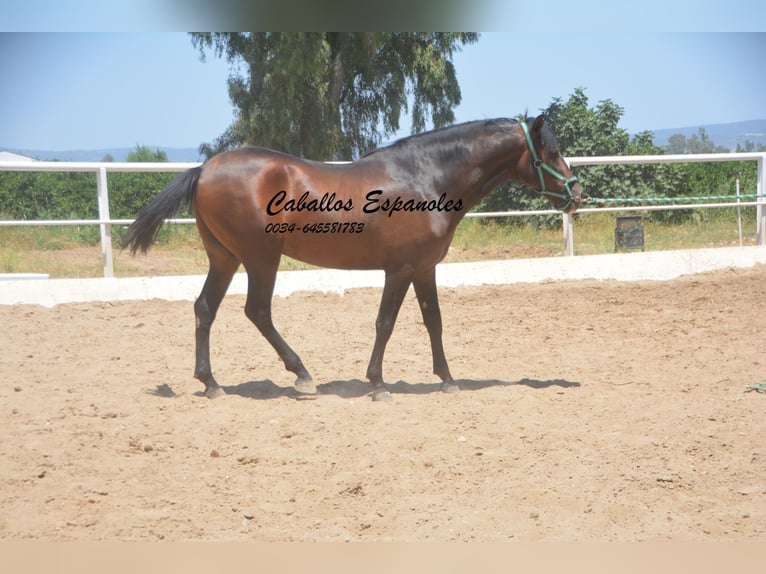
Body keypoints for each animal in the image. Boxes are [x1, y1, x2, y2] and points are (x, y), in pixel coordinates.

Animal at [124, 116, 584, 404]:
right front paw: (378, 384)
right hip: (260, 258)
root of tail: (204, 169)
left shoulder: (425, 269)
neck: (425, 176)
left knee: (205, 308)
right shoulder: (399, 270)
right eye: (552, 151)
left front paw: (448, 380)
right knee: (257, 311)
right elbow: (386, 323)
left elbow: (433, 321)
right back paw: (302, 376)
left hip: (225, 258)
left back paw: (211, 383)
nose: (577, 194)